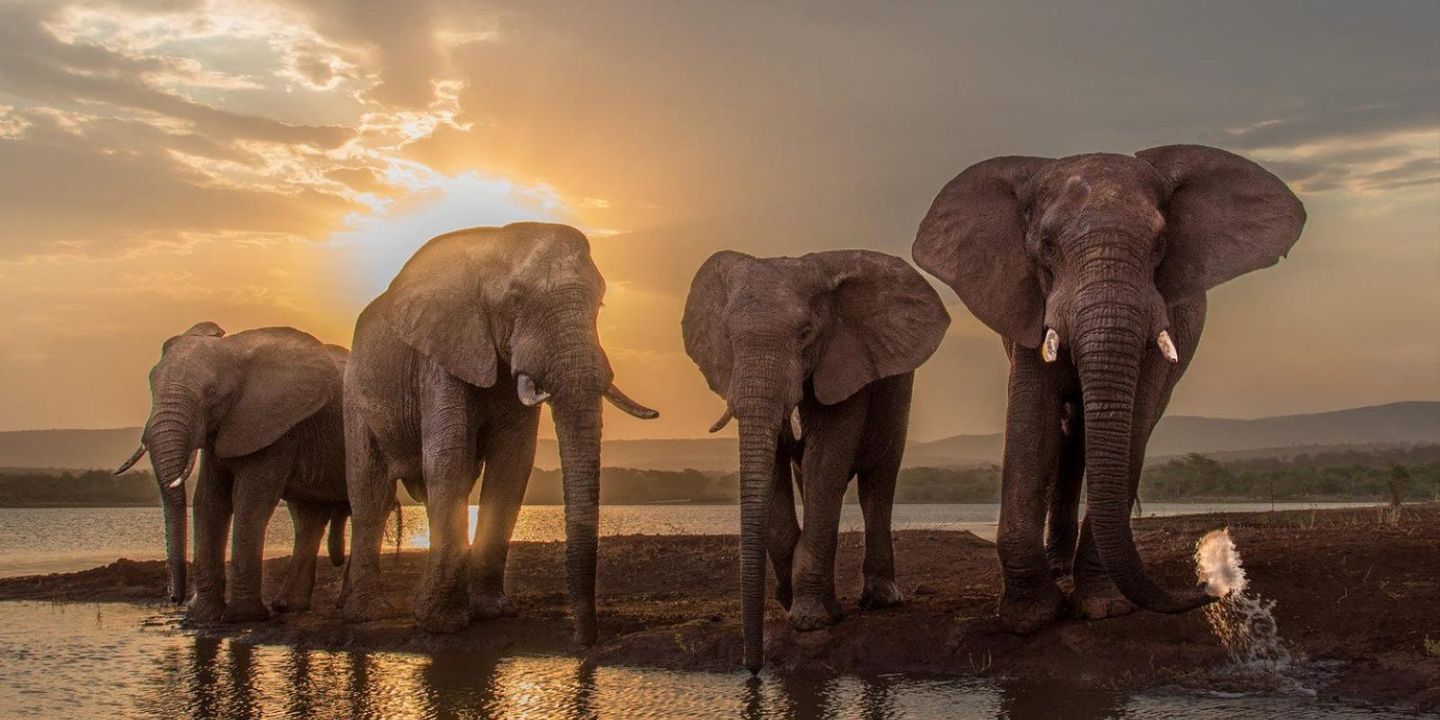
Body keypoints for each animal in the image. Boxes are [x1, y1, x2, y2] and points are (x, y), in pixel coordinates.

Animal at [113, 322, 351, 622]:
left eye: (212, 393)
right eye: (151, 388)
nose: (174, 597)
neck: (235, 351)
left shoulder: (274, 425)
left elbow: (249, 502)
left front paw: (242, 616)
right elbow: (209, 501)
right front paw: (202, 615)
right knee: (308, 518)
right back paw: (288, 607)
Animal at [341, 222, 659, 642]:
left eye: (601, 304)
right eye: (516, 299)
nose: (583, 639)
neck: (490, 243)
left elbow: (512, 465)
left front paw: (492, 612)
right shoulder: (440, 356)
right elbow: (448, 458)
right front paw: (441, 623)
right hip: (355, 393)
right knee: (370, 494)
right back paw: (369, 613)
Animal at [682, 249, 951, 672]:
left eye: (805, 334)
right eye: (727, 337)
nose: (753, 668)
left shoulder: (846, 360)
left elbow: (826, 460)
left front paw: (810, 620)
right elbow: (778, 467)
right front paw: (791, 597)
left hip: (897, 395)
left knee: (877, 484)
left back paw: (881, 601)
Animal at [912, 145, 1306, 633]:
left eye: (1160, 245)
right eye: (1045, 247)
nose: (1215, 581)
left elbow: (1133, 419)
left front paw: (1104, 608)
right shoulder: (1028, 305)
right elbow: (1030, 421)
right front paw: (1028, 619)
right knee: (1069, 436)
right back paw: (1057, 566)